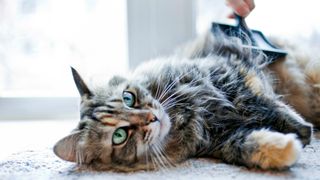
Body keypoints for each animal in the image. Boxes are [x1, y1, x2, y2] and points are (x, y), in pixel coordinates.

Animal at [53, 31, 318, 172]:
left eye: (128, 98)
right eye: (119, 136)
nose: (152, 118)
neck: (187, 116)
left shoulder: (232, 74)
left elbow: (268, 106)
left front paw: (303, 131)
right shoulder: (222, 139)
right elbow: (247, 146)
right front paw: (290, 146)